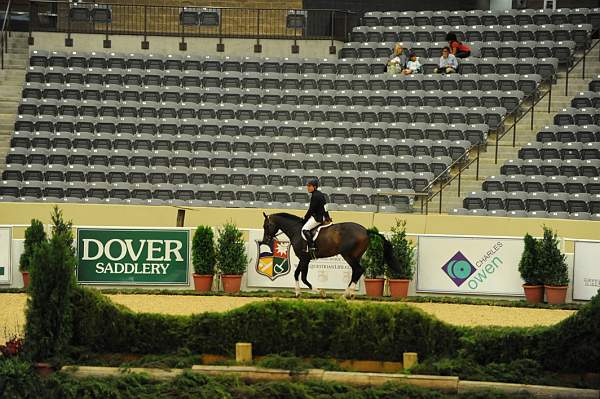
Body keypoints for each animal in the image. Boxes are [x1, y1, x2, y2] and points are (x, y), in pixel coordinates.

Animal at [260, 214, 400, 298]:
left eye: (267, 225)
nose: (265, 241)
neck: (296, 230)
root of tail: (366, 230)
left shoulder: (305, 259)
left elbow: (303, 277)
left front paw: (321, 292)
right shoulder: (304, 258)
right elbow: (296, 274)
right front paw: (298, 293)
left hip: (347, 255)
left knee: (358, 269)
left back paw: (347, 294)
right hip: (355, 256)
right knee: (356, 271)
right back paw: (348, 293)